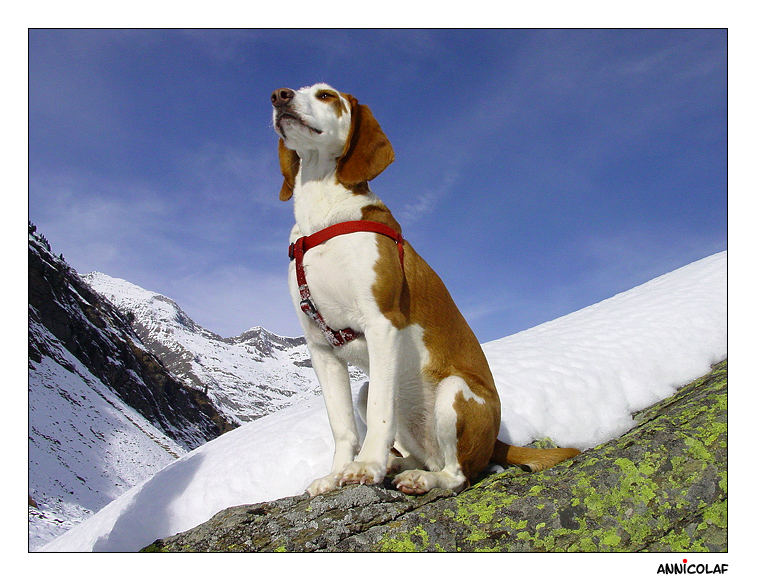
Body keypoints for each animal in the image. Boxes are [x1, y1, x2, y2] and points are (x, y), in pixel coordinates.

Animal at [272, 84, 580, 500]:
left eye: (325, 95)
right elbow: (342, 426)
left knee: (458, 474)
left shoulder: (382, 322)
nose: (279, 96)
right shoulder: (320, 347)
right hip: (372, 393)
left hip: (455, 391)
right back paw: (399, 464)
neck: (322, 215)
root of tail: (496, 441)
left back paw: (421, 477)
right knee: (421, 455)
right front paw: (335, 475)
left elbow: (380, 415)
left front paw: (366, 466)